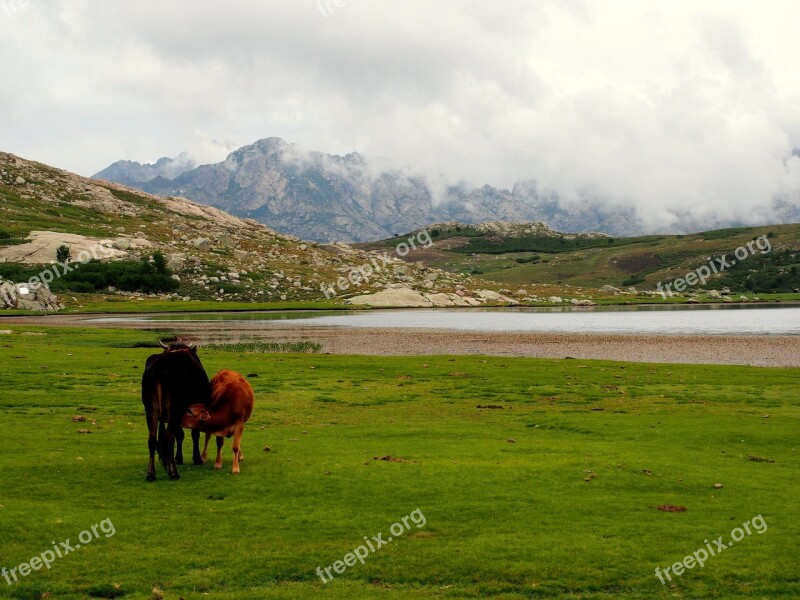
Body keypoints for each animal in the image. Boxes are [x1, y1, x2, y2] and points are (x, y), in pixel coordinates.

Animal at [141, 340, 211, 480]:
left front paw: (177, 458)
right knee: (169, 438)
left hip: (151, 410)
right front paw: (196, 458)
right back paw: (173, 473)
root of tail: (162, 364)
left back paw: (151, 473)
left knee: (152, 439)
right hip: (174, 408)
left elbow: (179, 434)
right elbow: (193, 434)